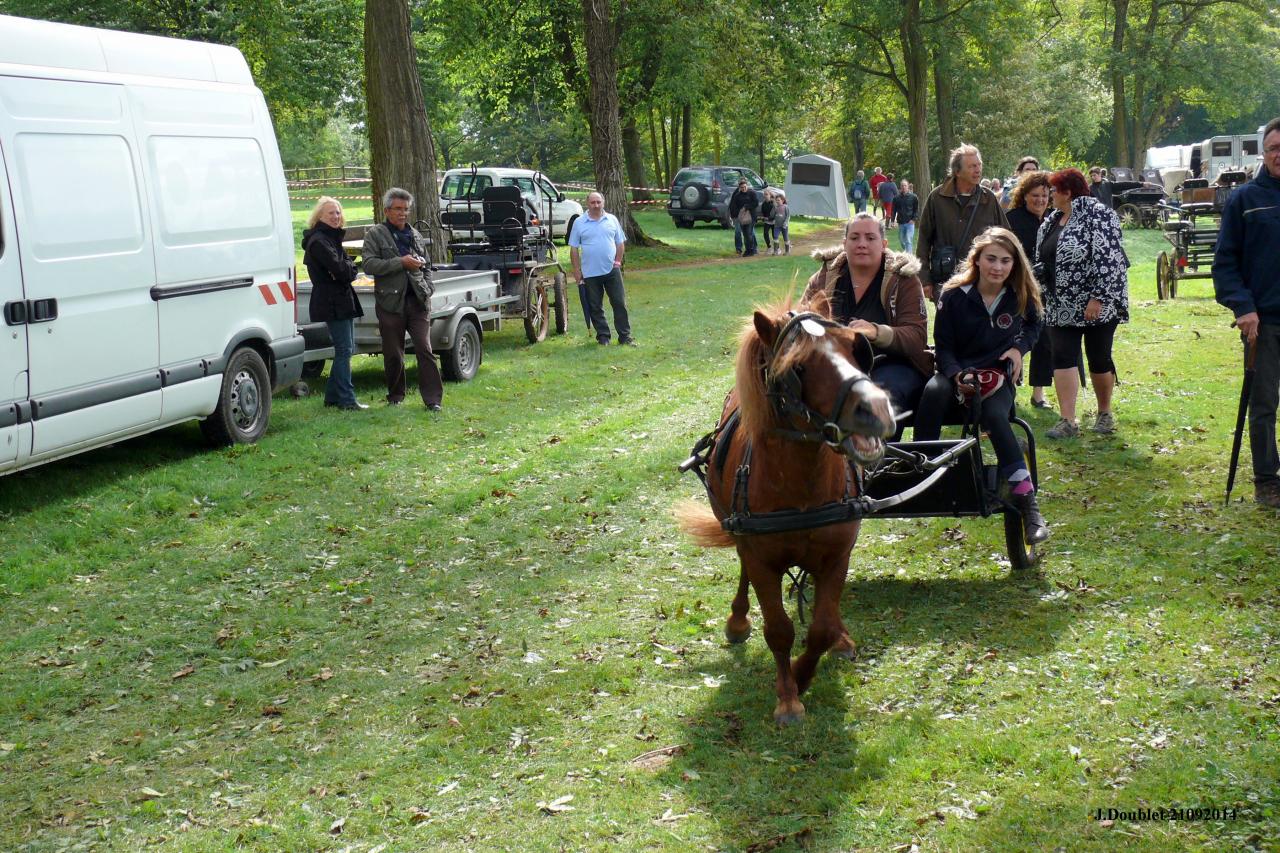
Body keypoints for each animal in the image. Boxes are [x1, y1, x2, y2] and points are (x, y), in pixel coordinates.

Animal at [676, 297, 896, 724]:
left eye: (855, 349)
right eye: (798, 367)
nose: (877, 407)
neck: (801, 489)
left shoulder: (836, 556)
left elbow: (821, 628)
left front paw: (805, 670)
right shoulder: (760, 559)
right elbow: (778, 629)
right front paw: (788, 696)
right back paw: (738, 620)